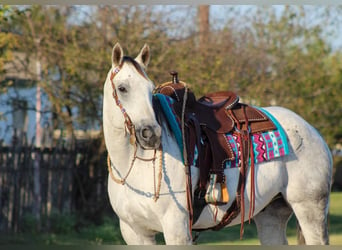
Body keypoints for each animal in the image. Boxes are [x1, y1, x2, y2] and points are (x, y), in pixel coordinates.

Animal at [103, 43, 332, 244]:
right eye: (122, 88)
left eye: (150, 90)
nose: (151, 134)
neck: (133, 167)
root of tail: (312, 131)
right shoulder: (135, 233)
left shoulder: (176, 230)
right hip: (271, 215)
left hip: (310, 209)